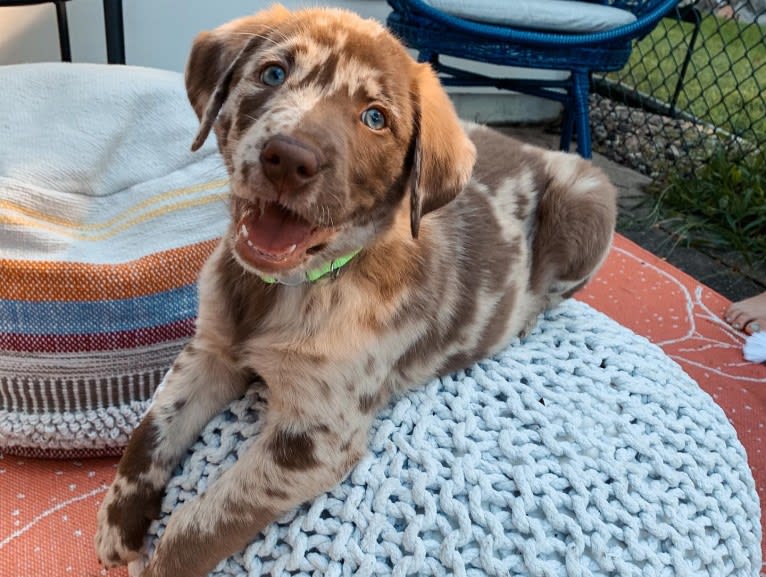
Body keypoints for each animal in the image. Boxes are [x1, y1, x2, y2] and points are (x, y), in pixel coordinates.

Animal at [94, 5, 616, 576]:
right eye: (273, 73)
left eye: (375, 118)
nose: (288, 158)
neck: (288, 289)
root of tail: (534, 148)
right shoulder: (210, 351)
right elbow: (152, 428)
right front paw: (119, 521)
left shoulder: (317, 436)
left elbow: (204, 522)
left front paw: (161, 557)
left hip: (587, 201)